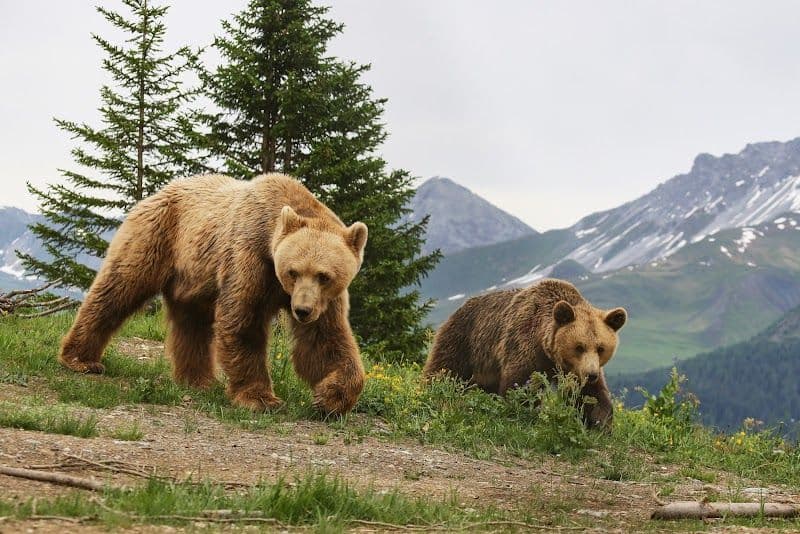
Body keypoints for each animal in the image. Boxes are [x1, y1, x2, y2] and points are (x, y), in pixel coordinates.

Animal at [59, 173, 368, 415]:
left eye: (324, 275)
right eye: (293, 271)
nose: (301, 310)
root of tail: (155, 194)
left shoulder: (325, 300)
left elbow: (323, 340)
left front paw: (330, 397)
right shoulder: (250, 258)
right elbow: (243, 321)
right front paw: (260, 398)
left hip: (193, 276)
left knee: (192, 322)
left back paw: (198, 380)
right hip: (157, 235)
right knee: (120, 286)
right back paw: (81, 359)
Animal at [423, 279, 627, 428]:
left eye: (600, 348)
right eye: (579, 347)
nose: (591, 374)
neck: (548, 351)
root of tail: (460, 307)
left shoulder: (575, 369)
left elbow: (591, 395)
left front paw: (600, 423)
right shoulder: (525, 345)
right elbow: (520, 385)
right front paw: (525, 413)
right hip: (464, 340)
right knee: (445, 369)